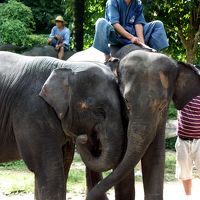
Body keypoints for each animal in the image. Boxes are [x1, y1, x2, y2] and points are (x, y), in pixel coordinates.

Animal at [0, 51, 126, 200]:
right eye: (98, 110)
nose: (83, 137)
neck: (64, 66)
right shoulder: (32, 110)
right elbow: (49, 168)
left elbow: (64, 163)